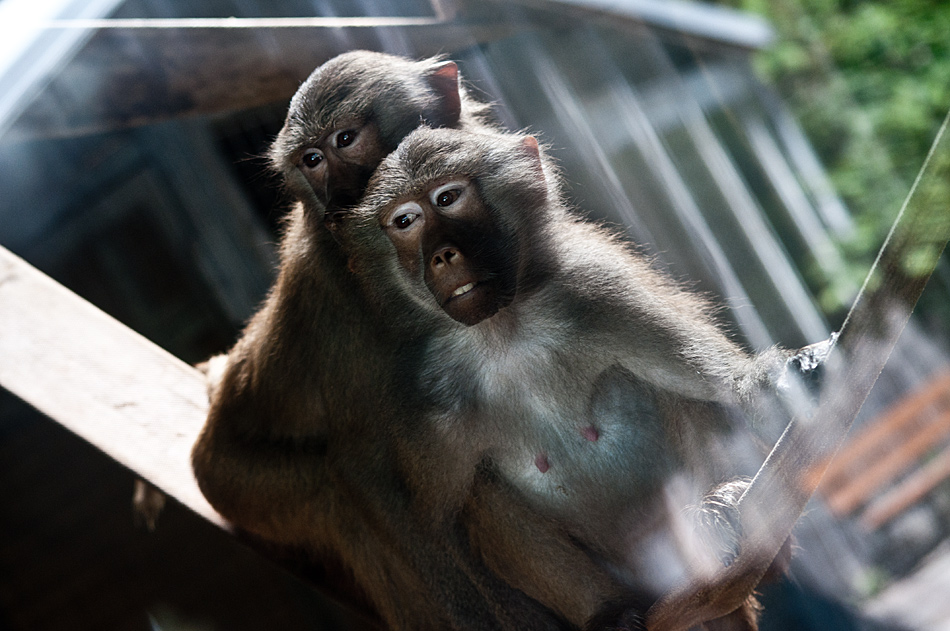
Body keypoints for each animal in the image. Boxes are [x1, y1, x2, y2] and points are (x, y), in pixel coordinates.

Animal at [332, 127, 812, 628]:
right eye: (405, 220)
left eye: (447, 197)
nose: (443, 256)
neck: (504, 332)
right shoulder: (423, 388)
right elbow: (438, 532)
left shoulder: (597, 287)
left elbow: (729, 387)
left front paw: (782, 384)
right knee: (480, 491)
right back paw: (609, 613)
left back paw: (726, 521)